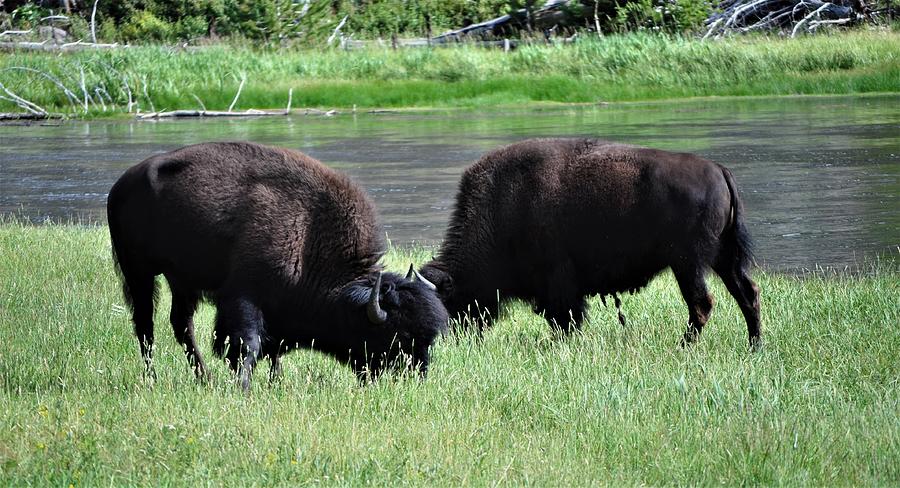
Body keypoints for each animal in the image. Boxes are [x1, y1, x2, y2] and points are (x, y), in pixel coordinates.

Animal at [108, 142, 450, 388]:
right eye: (399, 338)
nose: (415, 379)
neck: (310, 232)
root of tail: (121, 185)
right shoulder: (244, 297)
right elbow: (248, 344)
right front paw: (243, 387)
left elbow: (271, 349)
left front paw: (274, 381)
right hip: (139, 272)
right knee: (145, 327)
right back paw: (153, 379)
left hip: (181, 281)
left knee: (181, 325)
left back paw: (204, 378)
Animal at [418, 138, 764, 346]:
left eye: (449, 302)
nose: (453, 340)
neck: (503, 202)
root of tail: (719, 170)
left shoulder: (558, 283)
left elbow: (565, 318)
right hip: (722, 259)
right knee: (747, 294)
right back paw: (754, 345)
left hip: (688, 263)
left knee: (702, 303)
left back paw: (683, 346)